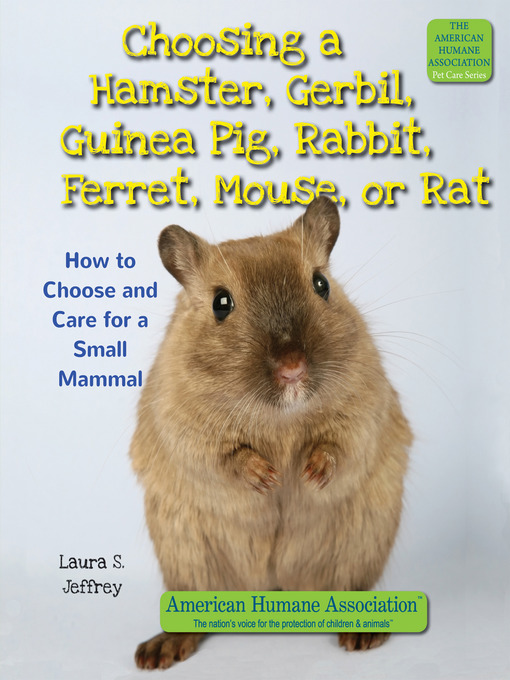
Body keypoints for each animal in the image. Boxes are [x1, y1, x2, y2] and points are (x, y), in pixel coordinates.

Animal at [131, 196, 412, 669]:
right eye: (220, 303)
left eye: (321, 284)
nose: (292, 368)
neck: (280, 415)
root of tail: (273, 590)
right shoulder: (183, 426)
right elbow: (224, 457)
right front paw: (267, 478)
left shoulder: (365, 406)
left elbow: (340, 444)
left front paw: (309, 473)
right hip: (186, 557)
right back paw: (158, 651)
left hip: (360, 544)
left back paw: (363, 633)